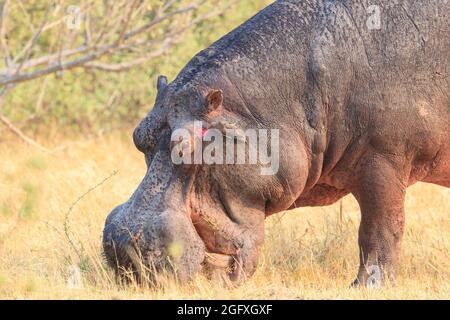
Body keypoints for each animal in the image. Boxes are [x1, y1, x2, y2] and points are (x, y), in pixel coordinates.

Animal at [103, 0, 450, 286]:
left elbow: (380, 228)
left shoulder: (385, 158)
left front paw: (366, 287)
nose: (123, 246)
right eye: (139, 135)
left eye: (188, 145)